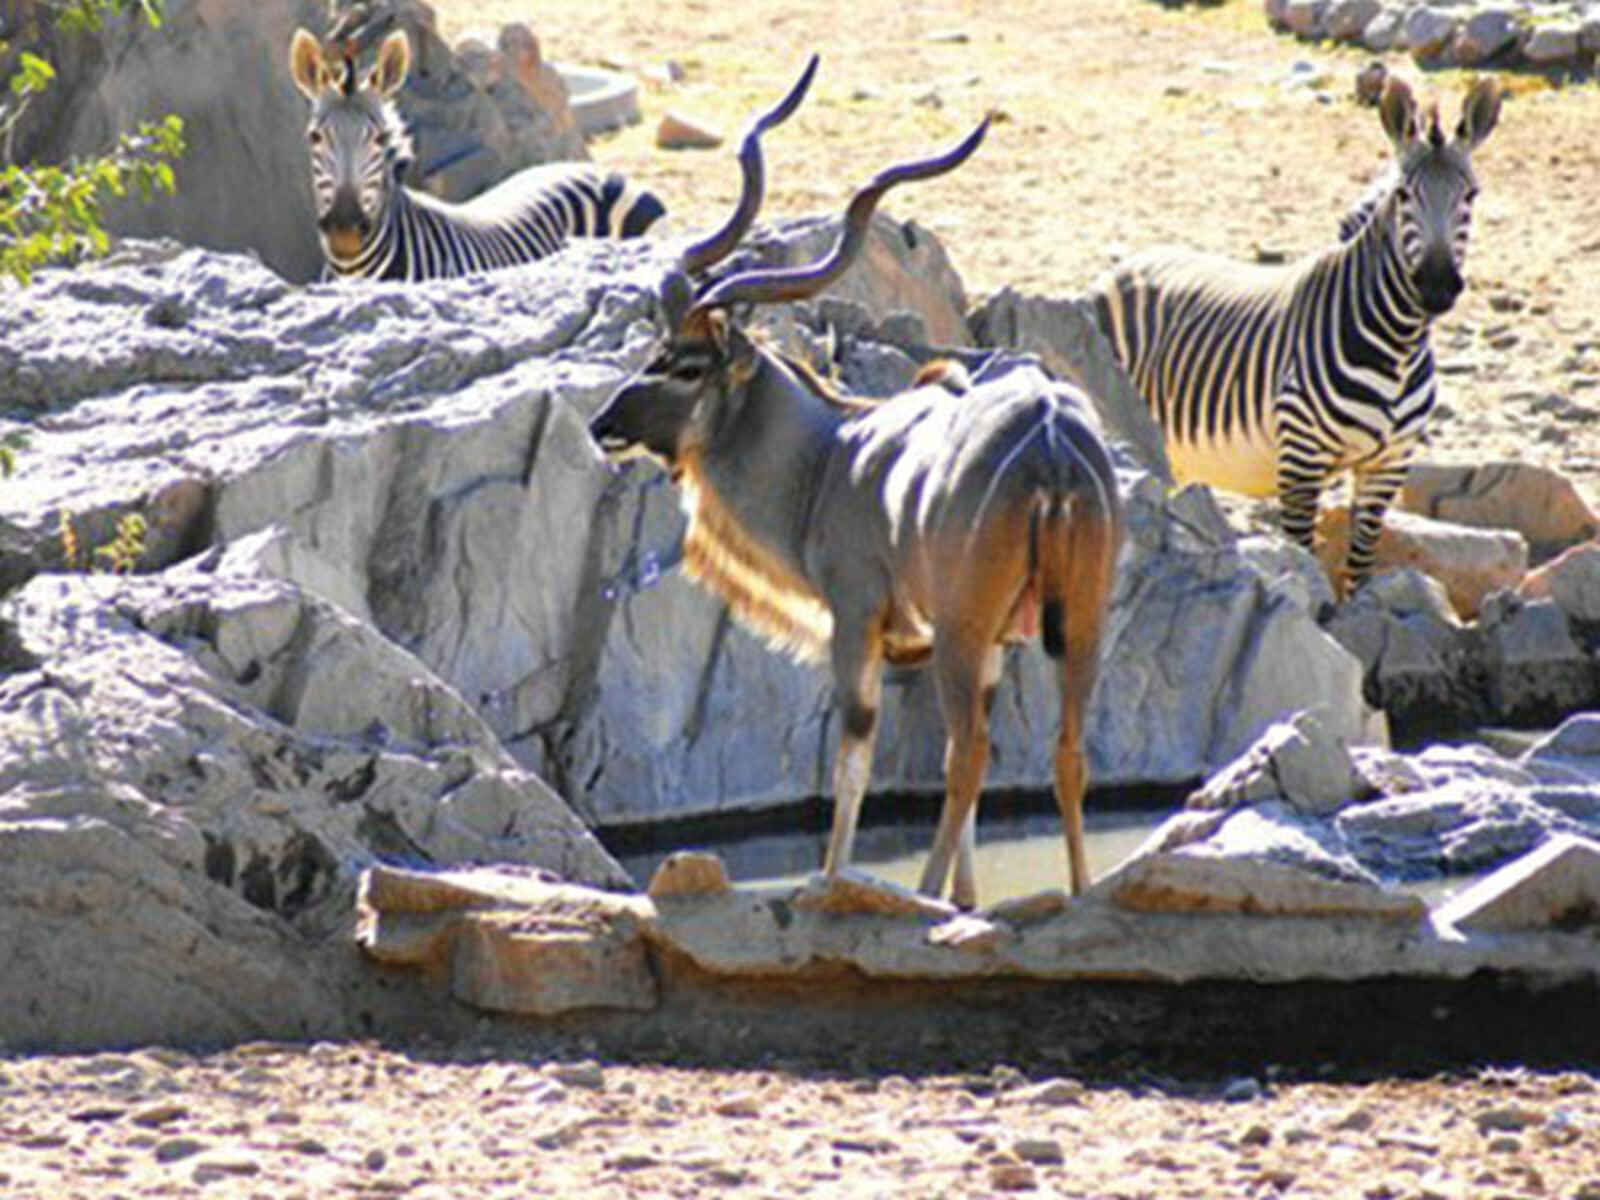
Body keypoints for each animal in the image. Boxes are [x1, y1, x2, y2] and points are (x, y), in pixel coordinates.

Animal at [1087, 76, 1501, 594]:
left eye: (1472, 196)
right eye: (1404, 195)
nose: (1438, 285)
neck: (1398, 346)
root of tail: (1129, 263)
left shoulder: (1389, 464)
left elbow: (1360, 563)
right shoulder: (1302, 457)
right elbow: (1304, 558)